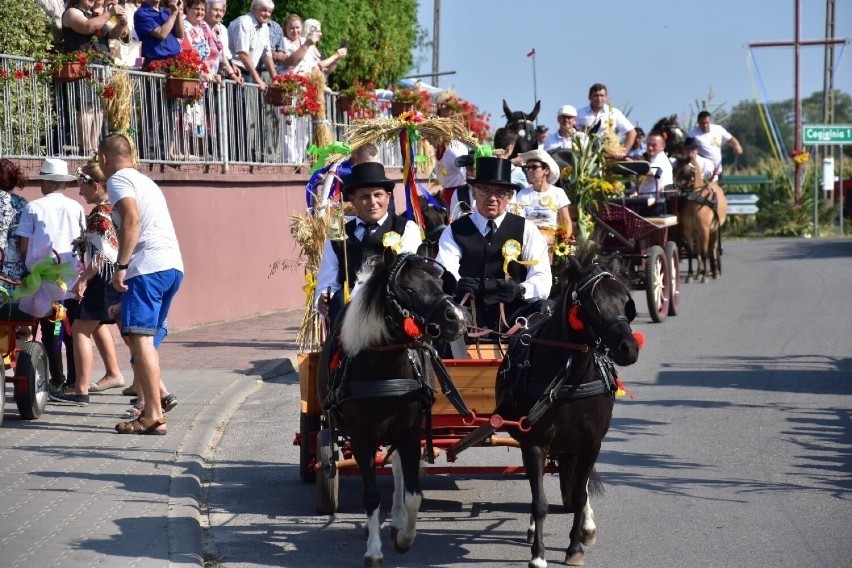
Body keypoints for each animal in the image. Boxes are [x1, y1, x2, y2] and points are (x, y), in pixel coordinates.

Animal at [318, 252, 466, 568]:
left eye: (440, 283)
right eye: (407, 289)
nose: (457, 318)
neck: (384, 368)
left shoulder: (409, 433)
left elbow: (413, 494)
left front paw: (404, 538)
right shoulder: (361, 438)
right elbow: (371, 495)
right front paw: (374, 551)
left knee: (398, 471)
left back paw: (397, 522)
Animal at [492, 242, 640, 564]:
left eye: (626, 301)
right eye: (594, 302)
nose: (629, 349)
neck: (570, 376)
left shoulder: (591, 444)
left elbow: (580, 495)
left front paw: (575, 547)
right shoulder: (533, 441)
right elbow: (539, 501)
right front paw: (538, 555)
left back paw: (586, 526)